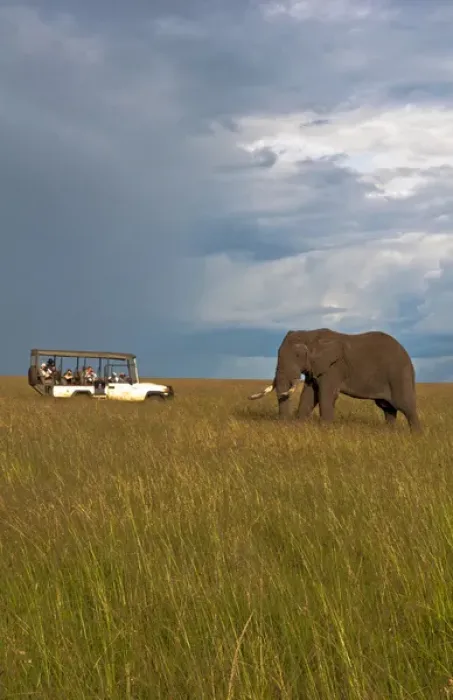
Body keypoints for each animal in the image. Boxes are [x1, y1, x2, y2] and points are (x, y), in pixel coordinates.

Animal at [248, 328, 421, 432]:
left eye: (297, 355)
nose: (284, 425)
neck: (311, 334)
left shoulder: (333, 367)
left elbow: (326, 395)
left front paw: (325, 430)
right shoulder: (316, 367)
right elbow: (309, 395)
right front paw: (299, 426)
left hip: (399, 374)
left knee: (405, 405)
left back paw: (416, 436)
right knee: (388, 408)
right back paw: (388, 433)